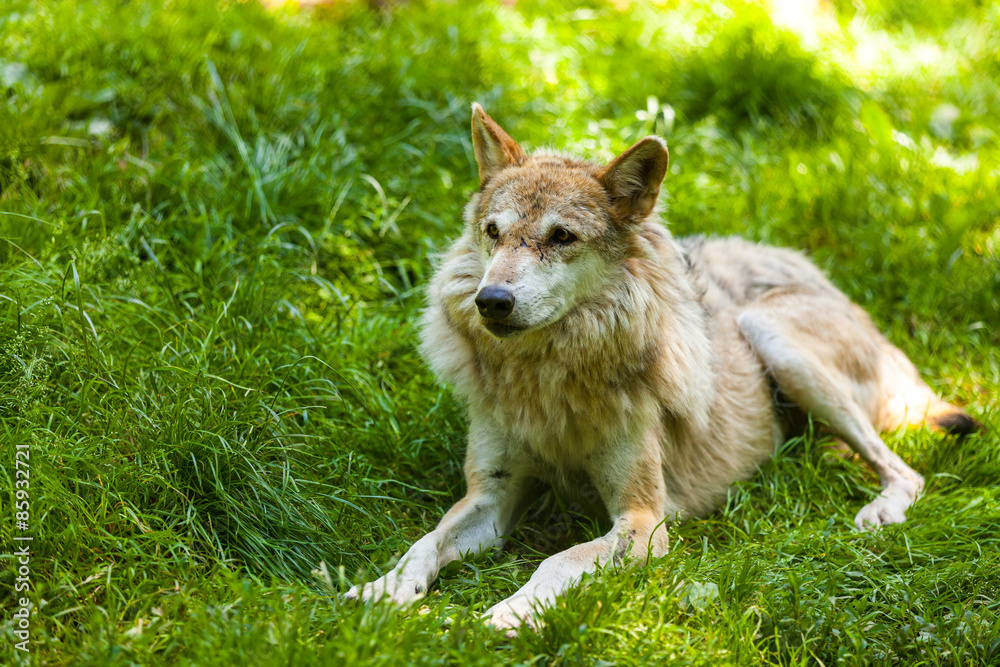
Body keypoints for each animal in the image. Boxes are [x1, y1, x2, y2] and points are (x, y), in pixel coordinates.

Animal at [345, 103, 982, 634]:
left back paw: (879, 510)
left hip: (771, 335)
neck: (547, 381)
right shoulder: (491, 496)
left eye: (561, 237)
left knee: (906, 471)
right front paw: (383, 590)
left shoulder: (644, 519)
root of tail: (820, 275)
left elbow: (557, 561)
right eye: (493, 233)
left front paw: (507, 614)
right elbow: (424, 544)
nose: (491, 301)